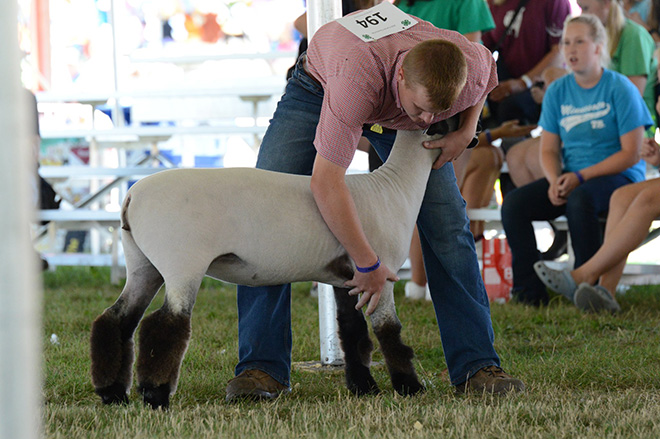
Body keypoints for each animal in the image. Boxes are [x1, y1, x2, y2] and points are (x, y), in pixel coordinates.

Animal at [89, 119, 458, 410]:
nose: (470, 138)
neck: (393, 188)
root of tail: (130, 196)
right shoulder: (380, 273)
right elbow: (389, 332)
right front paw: (410, 388)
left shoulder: (348, 279)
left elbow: (352, 333)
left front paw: (364, 388)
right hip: (181, 263)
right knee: (164, 325)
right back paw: (155, 397)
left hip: (142, 264)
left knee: (115, 320)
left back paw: (112, 394)